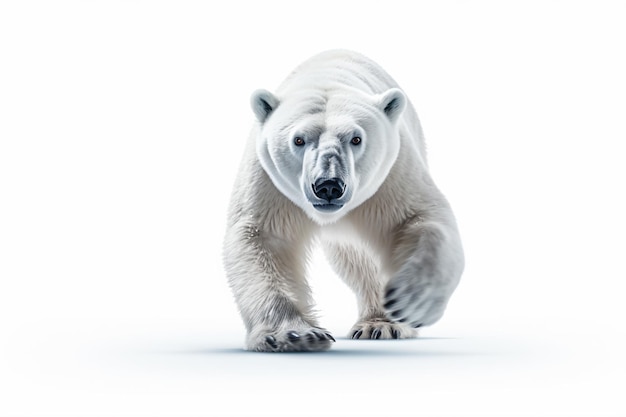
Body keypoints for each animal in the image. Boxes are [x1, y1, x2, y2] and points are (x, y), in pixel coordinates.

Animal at [224, 49, 464, 352]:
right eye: (298, 140)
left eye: (356, 138)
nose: (328, 186)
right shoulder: (269, 181)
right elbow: (263, 239)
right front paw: (294, 335)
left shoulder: (391, 172)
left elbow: (419, 218)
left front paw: (410, 301)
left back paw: (380, 325)